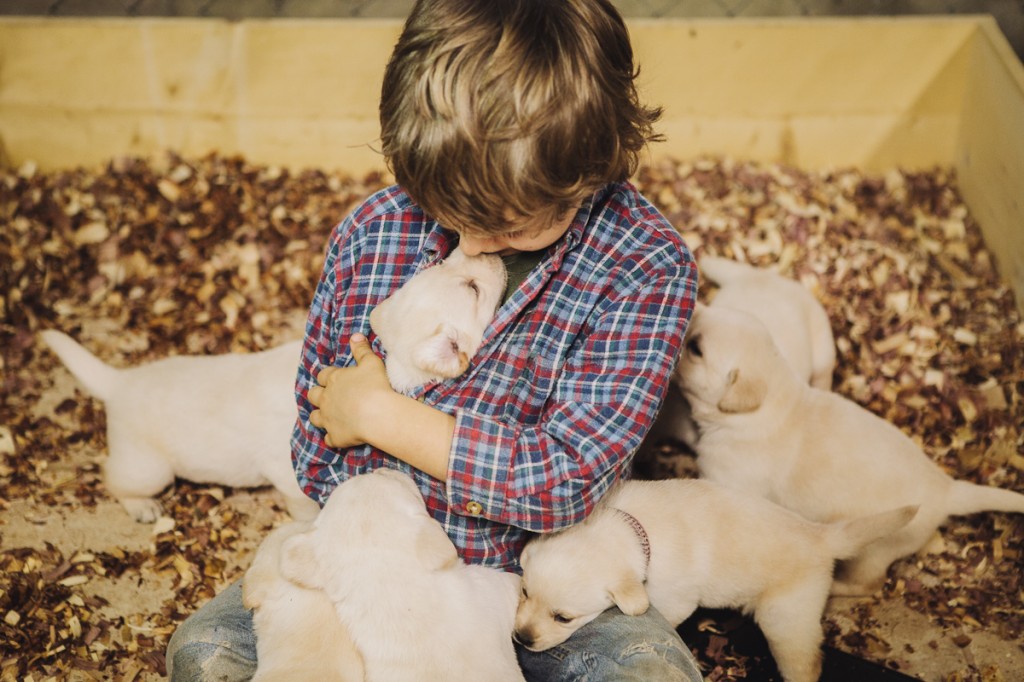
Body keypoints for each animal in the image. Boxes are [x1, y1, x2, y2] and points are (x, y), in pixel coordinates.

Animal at [41, 249, 505, 520]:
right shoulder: (290, 476)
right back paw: (142, 507)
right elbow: (306, 505)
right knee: (113, 478)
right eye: (472, 289)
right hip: (147, 468)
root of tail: (119, 382)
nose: (494, 256)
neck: (384, 360)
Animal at [516, 475, 917, 679]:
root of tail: (820, 535)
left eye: (563, 618)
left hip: (785, 619)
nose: (520, 638)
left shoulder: (676, 599)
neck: (634, 528)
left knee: (807, 664)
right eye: (523, 592)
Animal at [675, 305, 1024, 593]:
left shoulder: (727, 481)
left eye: (695, 349)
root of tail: (948, 490)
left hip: (875, 551)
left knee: (867, 585)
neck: (762, 408)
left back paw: (836, 588)